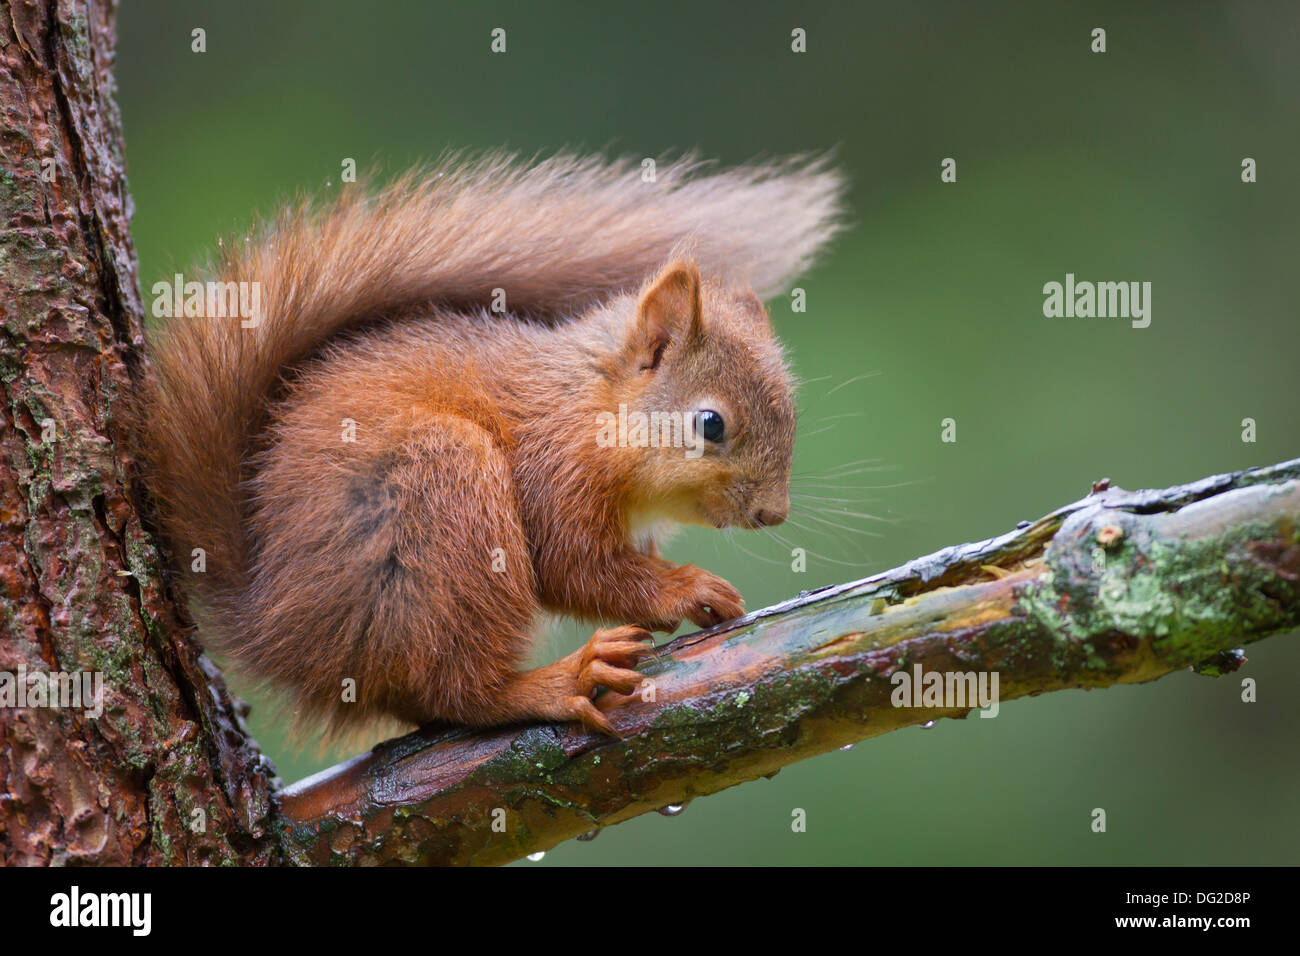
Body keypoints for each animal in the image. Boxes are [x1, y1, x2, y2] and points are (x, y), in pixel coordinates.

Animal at [131, 151, 842, 738]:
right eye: (711, 424)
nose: (772, 514)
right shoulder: (553, 468)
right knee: (459, 691)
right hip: (441, 499)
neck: (591, 407)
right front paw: (688, 589)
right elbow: (575, 566)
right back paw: (556, 681)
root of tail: (278, 630)